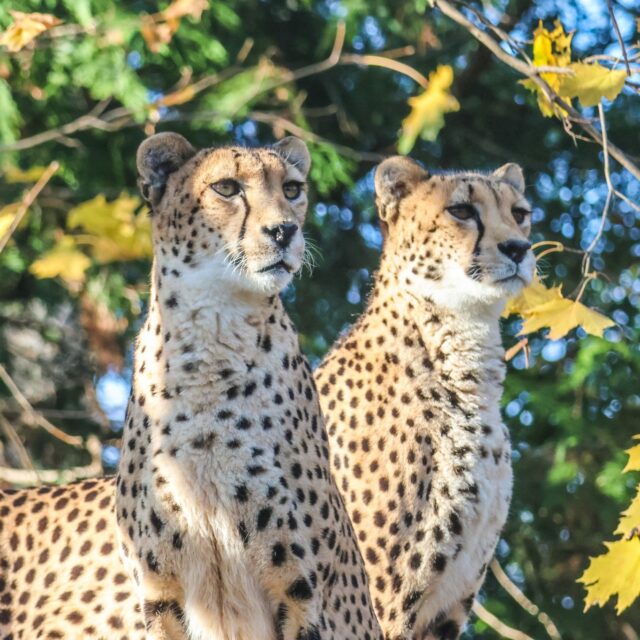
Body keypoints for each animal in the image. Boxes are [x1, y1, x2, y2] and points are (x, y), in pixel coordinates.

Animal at [0, 133, 383, 640]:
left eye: (293, 189)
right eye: (226, 188)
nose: (284, 231)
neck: (211, 333)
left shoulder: (302, 592)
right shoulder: (162, 590)